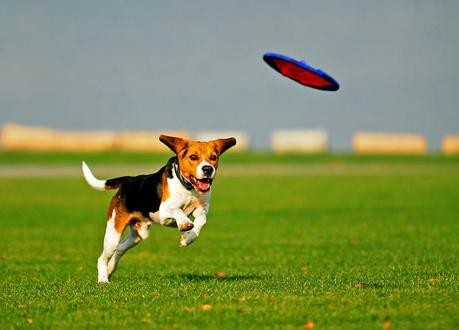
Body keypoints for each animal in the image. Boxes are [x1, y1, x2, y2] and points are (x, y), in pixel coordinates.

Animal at [81, 134, 237, 282]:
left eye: (213, 157)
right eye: (193, 157)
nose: (208, 169)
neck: (188, 187)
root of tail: (128, 180)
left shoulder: (202, 208)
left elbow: (201, 220)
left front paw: (188, 237)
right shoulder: (163, 212)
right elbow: (177, 210)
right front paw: (185, 224)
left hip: (135, 237)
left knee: (119, 249)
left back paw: (110, 270)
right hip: (113, 234)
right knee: (102, 257)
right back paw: (103, 279)